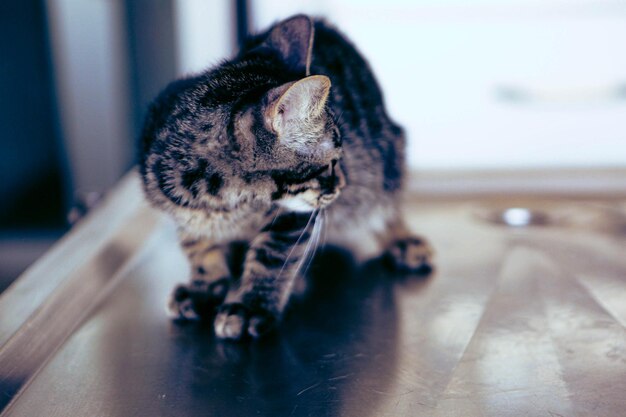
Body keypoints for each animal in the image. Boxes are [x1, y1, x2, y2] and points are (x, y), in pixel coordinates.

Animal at [138, 14, 432, 340]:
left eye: (340, 159)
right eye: (331, 164)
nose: (343, 183)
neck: (221, 203)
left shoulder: (294, 214)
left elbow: (271, 256)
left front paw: (250, 307)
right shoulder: (178, 208)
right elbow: (198, 246)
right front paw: (205, 287)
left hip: (387, 158)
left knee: (386, 203)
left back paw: (403, 241)